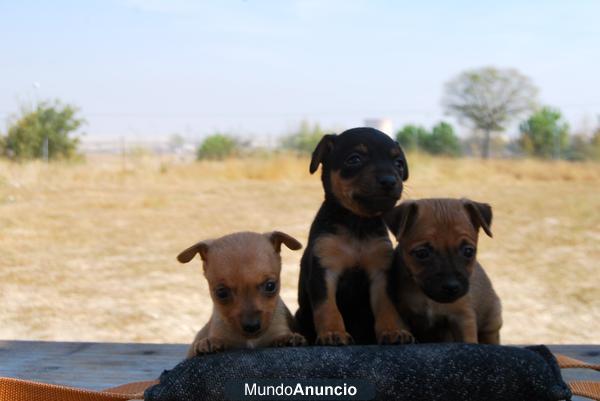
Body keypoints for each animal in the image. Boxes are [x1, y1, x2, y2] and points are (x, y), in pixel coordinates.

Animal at [177, 230, 310, 358]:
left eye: (270, 286)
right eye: (221, 293)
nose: (252, 326)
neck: (250, 340)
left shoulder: (278, 329)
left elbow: (279, 336)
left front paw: (288, 338)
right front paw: (208, 342)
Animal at [294, 127, 414, 344]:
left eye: (399, 164)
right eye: (354, 159)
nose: (390, 181)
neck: (357, 223)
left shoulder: (380, 273)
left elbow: (387, 307)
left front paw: (393, 331)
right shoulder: (324, 271)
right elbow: (328, 308)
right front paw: (333, 333)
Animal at [384, 198, 502, 342]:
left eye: (468, 251)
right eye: (422, 253)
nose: (452, 286)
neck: (428, 299)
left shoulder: (463, 317)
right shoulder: (404, 314)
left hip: (491, 324)